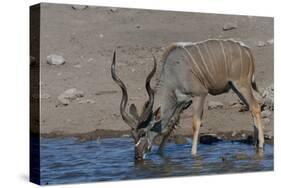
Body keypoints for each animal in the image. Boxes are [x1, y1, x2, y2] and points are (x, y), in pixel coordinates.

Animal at [111, 38, 262, 160]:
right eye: (132, 135)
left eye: (142, 133)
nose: (137, 156)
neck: (173, 73)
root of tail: (246, 50)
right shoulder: (180, 102)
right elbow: (171, 125)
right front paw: (160, 153)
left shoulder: (200, 94)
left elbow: (195, 123)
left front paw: (193, 154)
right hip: (235, 87)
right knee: (251, 108)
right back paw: (254, 144)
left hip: (241, 84)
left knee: (255, 107)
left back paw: (260, 146)